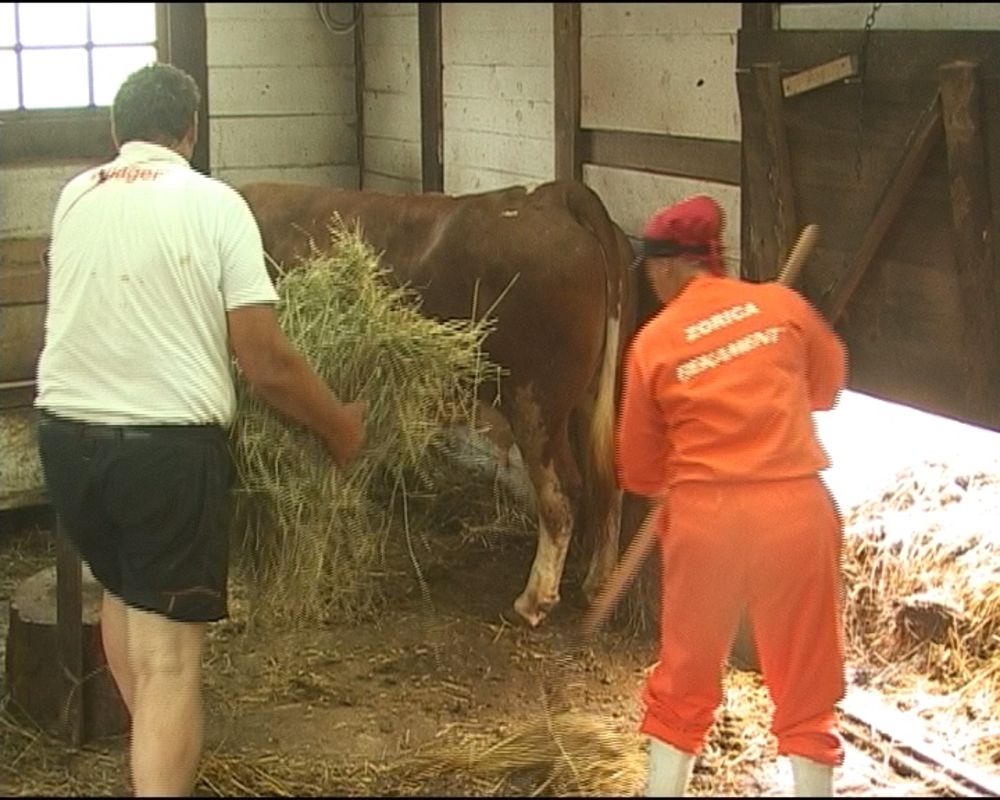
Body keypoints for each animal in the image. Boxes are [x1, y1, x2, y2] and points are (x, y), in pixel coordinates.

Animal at [238, 181, 636, 624]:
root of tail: (551, 195)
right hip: (597, 393)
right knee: (610, 480)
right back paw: (597, 585)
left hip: (534, 401)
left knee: (562, 494)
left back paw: (533, 602)